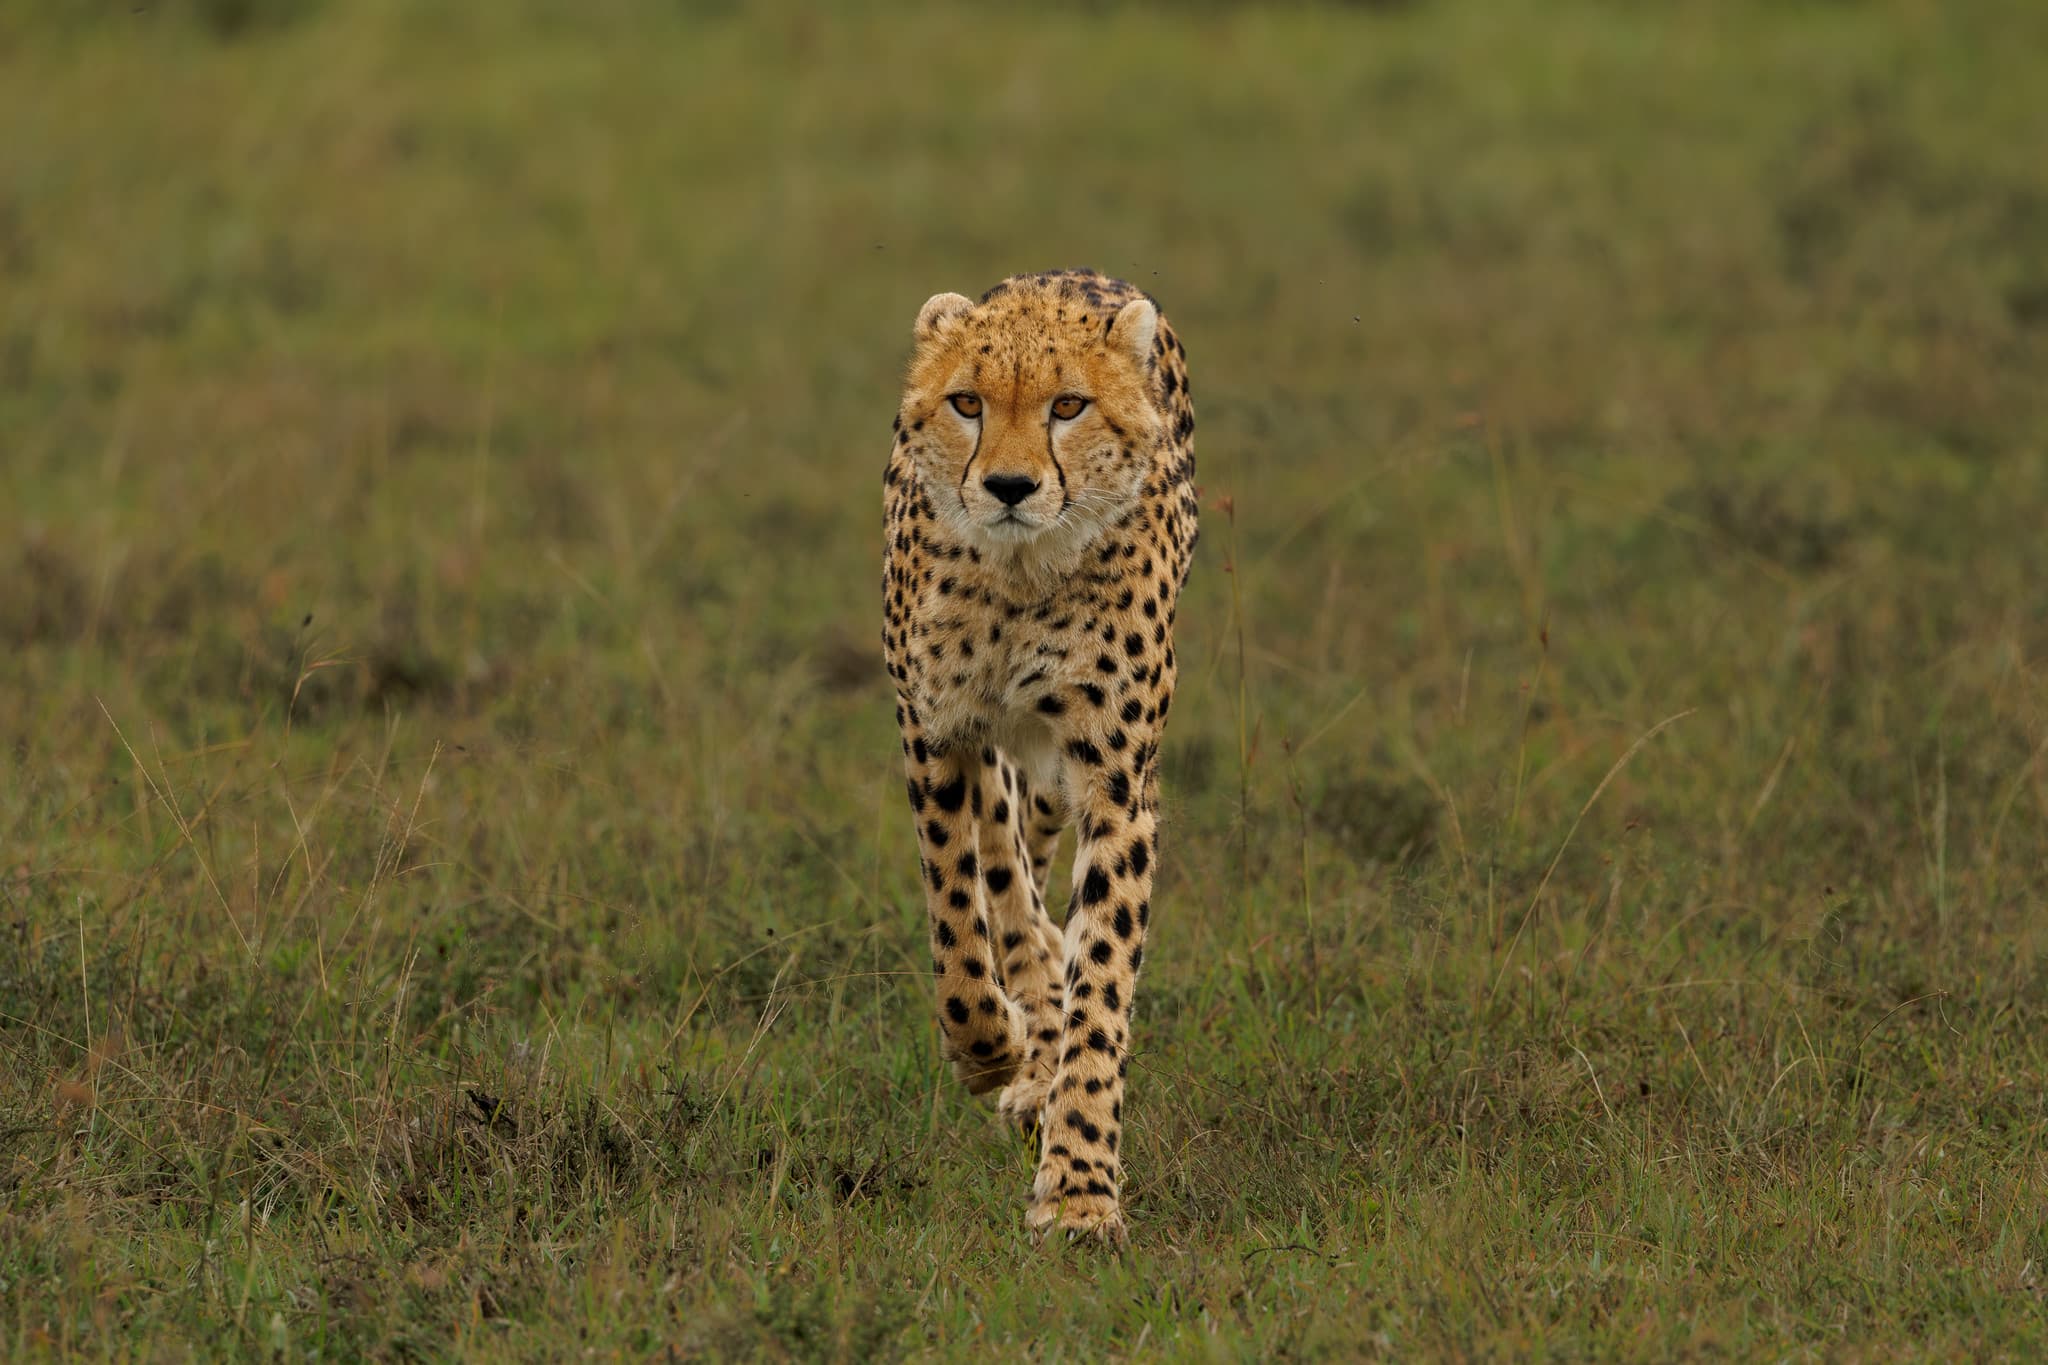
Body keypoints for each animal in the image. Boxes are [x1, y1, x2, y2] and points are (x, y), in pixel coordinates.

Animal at [881, 268, 1197, 1242]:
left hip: (1057, 768)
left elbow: (1103, 982)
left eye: (1068, 405)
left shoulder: (1116, 778)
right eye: (967, 403)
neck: (1022, 575)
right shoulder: (937, 726)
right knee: (1004, 865)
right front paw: (991, 1050)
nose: (1012, 485)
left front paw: (1080, 1186)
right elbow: (957, 916)